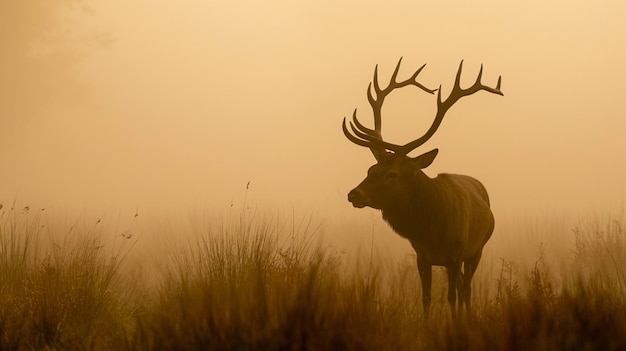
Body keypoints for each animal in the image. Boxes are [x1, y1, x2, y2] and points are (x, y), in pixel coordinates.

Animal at [342, 58, 502, 320]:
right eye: (370, 169)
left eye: (392, 174)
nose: (353, 194)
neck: (430, 230)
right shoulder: (422, 257)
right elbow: (426, 298)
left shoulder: (455, 254)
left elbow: (451, 297)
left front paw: (456, 324)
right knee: (462, 286)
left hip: (478, 248)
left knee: (466, 289)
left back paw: (468, 318)